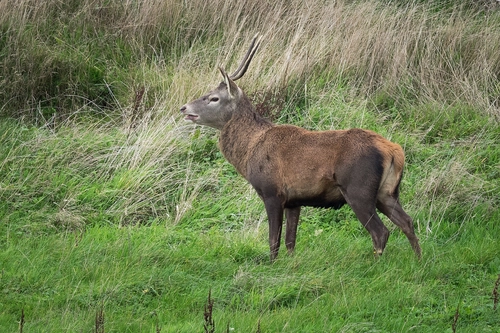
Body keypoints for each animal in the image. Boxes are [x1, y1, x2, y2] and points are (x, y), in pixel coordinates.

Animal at [180, 35, 422, 260]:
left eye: (213, 98)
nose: (184, 108)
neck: (249, 152)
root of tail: (395, 151)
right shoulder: (294, 201)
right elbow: (290, 241)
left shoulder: (272, 192)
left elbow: (273, 241)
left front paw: (271, 266)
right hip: (387, 191)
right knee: (407, 221)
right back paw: (419, 261)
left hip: (358, 189)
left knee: (380, 231)